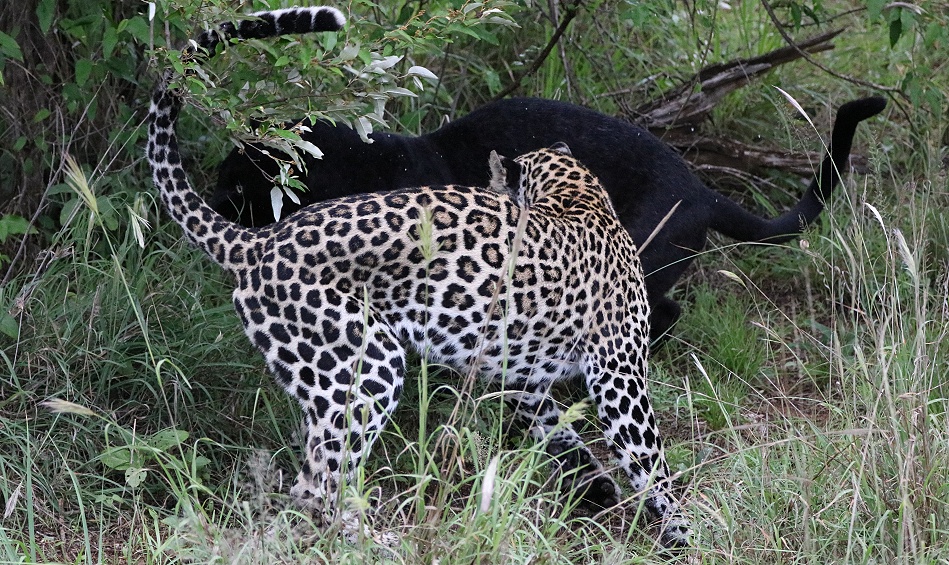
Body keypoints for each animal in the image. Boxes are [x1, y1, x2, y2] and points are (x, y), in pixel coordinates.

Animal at [147, 6, 690, 547]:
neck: (578, 194)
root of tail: (260, 240)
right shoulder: (618, 373)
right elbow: (648, 458)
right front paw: (682, 530)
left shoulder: (526, 375)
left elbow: (560, 429)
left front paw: (597, 485)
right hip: (367, 365)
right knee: (322, 482)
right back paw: (372, 541)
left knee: (311, 476)